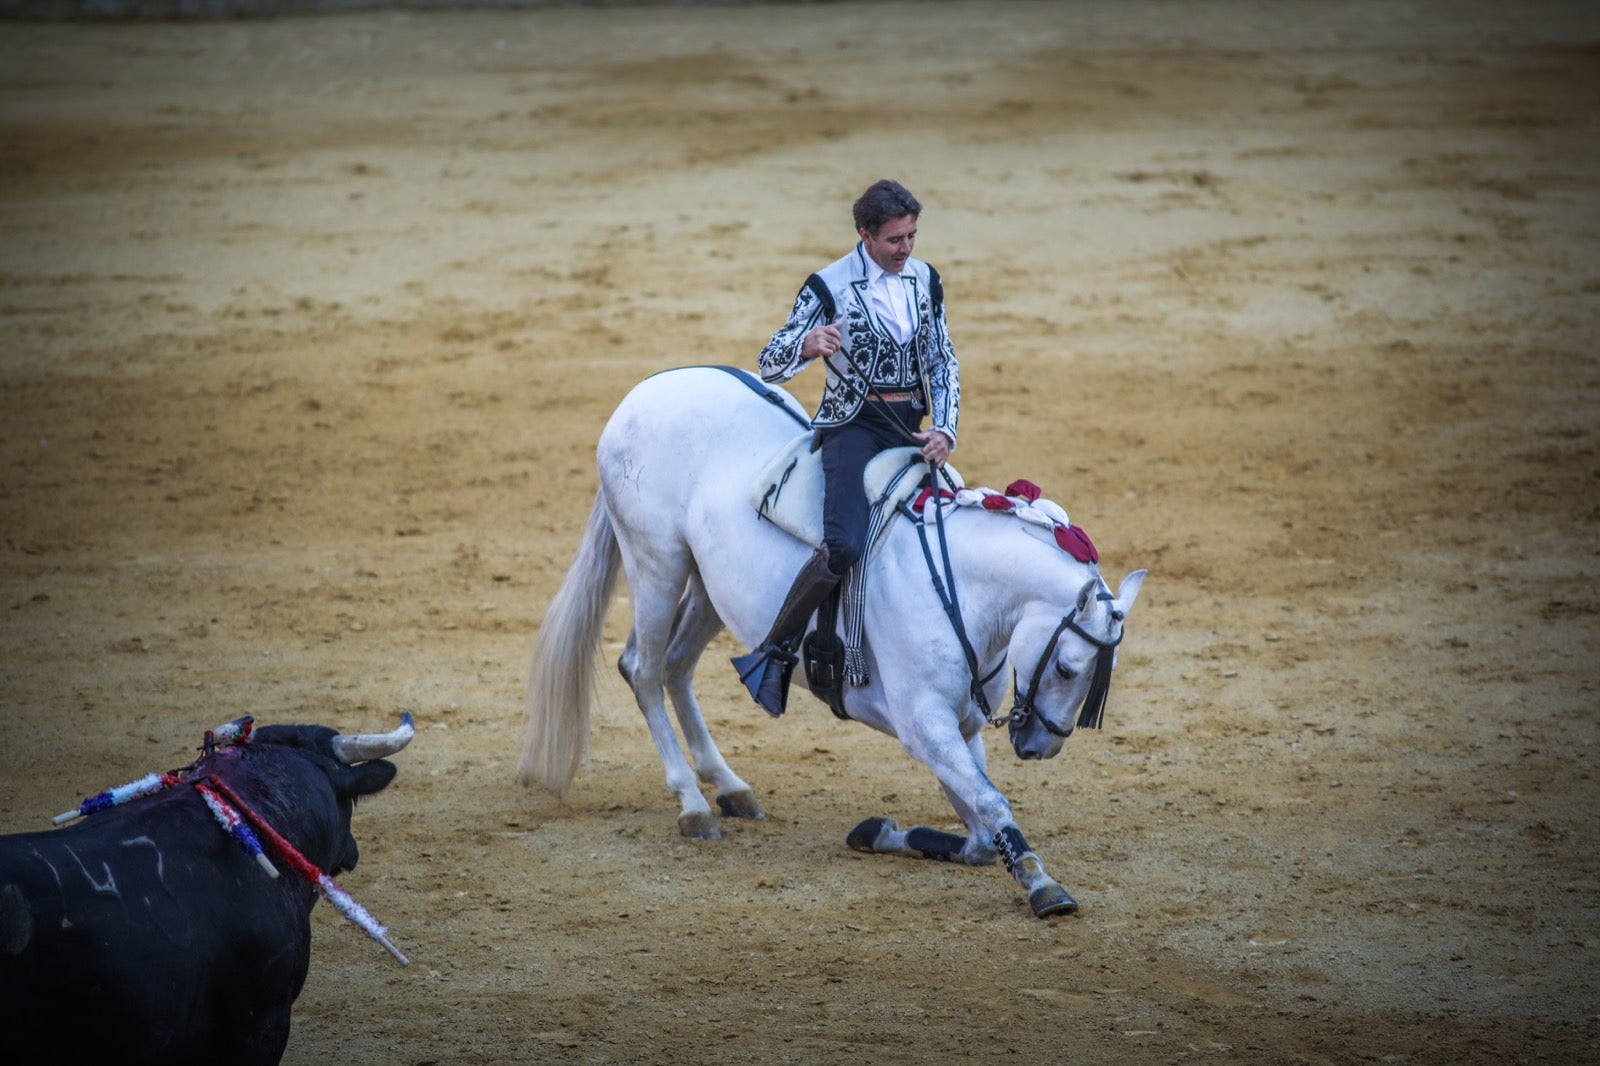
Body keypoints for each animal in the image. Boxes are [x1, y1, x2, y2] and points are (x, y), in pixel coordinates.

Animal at [518, 368, 1145, 915]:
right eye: (1067, 668)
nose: (1041, 747)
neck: (960, 588)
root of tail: (647, 390)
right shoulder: (925, 725)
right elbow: (990, 803)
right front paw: (1043, 885)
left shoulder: (962, 726)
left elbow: (979, 831)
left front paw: (881, 831)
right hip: (657, 565)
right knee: (643, 669)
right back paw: (694, 806)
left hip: (710, 586)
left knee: (676, 666)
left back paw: (729, 786)